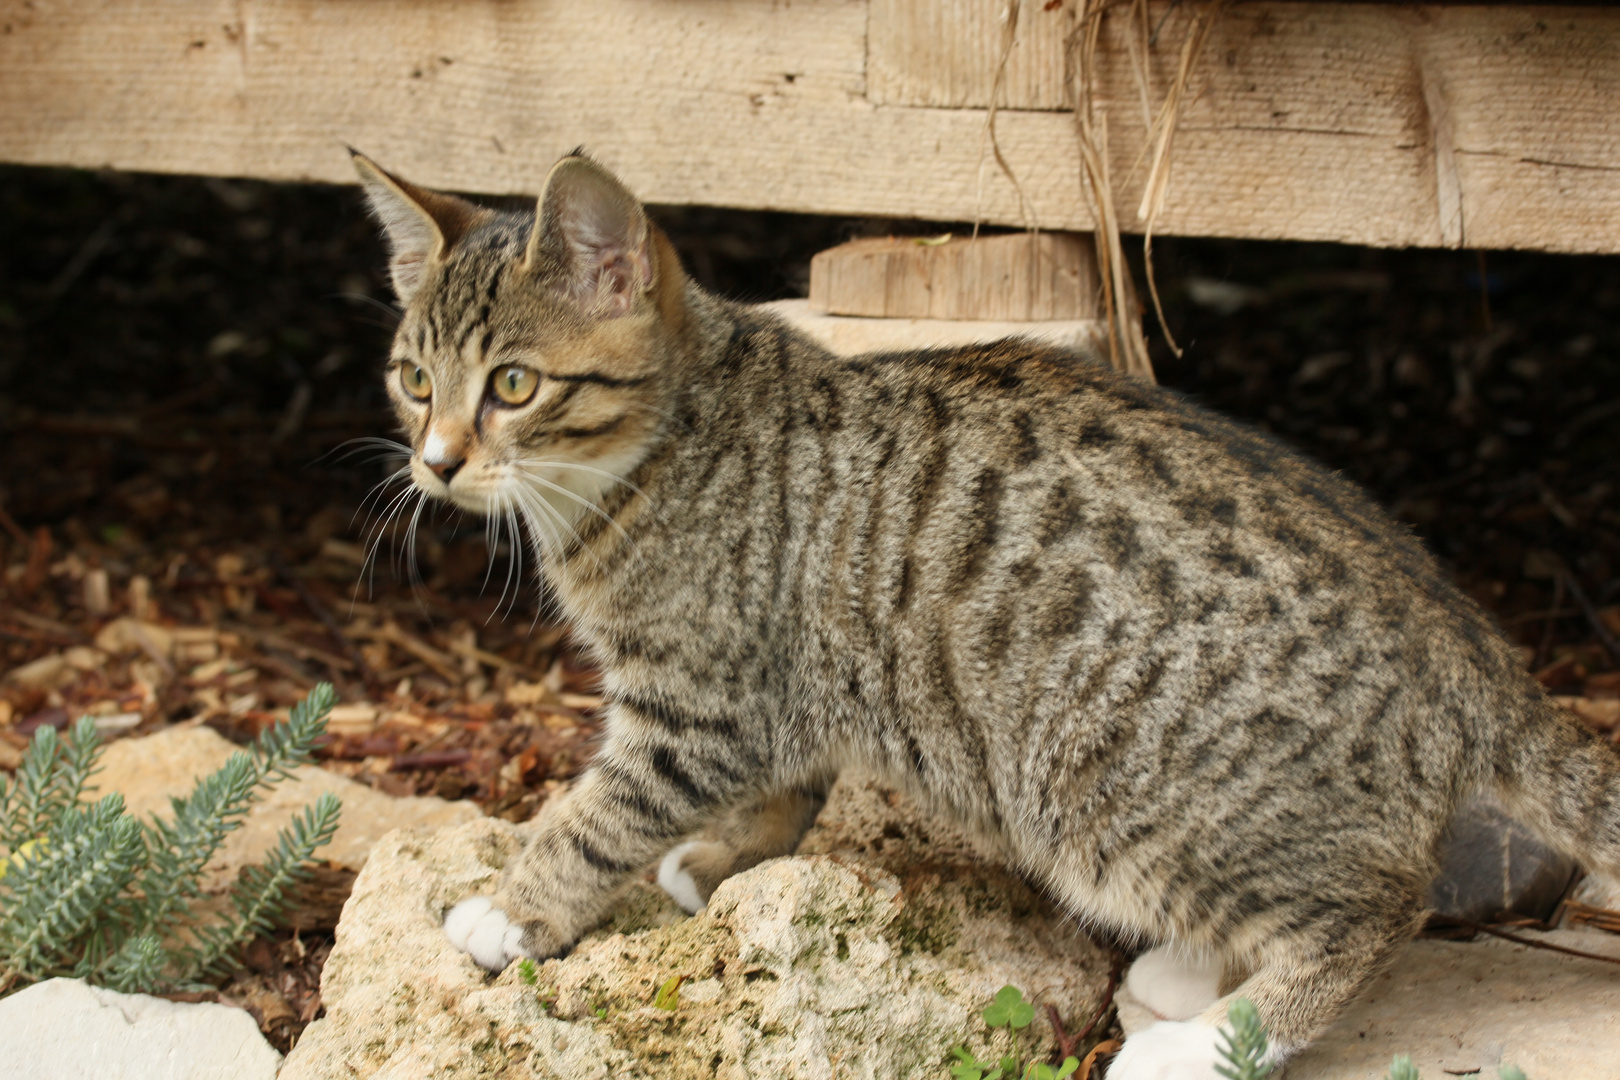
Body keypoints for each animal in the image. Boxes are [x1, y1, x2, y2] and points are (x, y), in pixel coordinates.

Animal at [348, 153, 1613, 1080]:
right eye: (414, 380)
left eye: (515, 386)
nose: (437, 462)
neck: (648, 459)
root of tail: (1460, 635)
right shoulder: (773, 695)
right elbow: (783, 795)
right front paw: (725, 859)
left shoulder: (701, 707)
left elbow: (596, 816)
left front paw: (510, 914)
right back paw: (1193, 979)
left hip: (1116, 786)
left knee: (1375, 911)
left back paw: (1209, 1043)